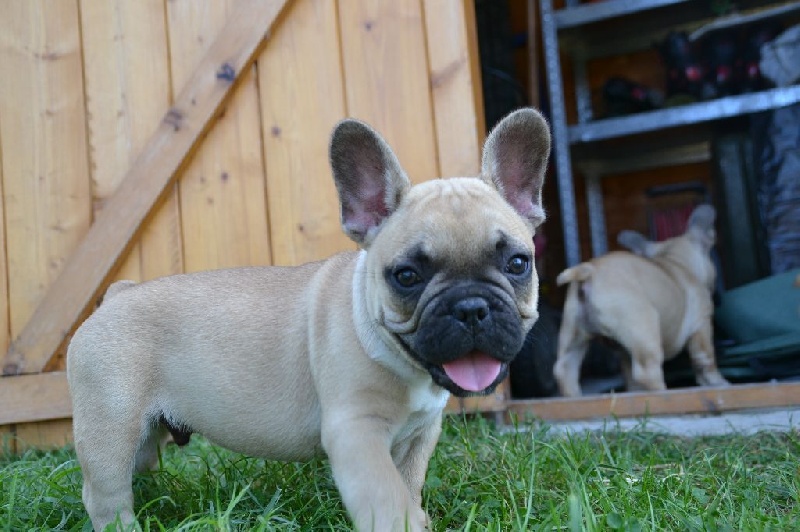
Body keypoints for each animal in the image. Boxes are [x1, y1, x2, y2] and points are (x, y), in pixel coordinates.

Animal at [67, 108, 551, 531]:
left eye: (518, 264)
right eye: (407, 276)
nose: (471, 307)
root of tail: (117, 293)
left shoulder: (420, 436)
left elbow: (409, 487)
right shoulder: (356, 433)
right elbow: (388, 499)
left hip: (145, 437)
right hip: (112, 424)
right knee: (104, 492)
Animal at [553, 204, 729, 397]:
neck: (676, 261)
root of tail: (589, 270)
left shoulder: (624, 351)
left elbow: (630, 376)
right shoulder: (701, 324)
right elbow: (706, 359)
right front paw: (717, 383)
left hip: (574, 332)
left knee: (565, 368)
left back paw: (574, 396)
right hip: (644, 329)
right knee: (647, 372)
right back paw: (663, 393)